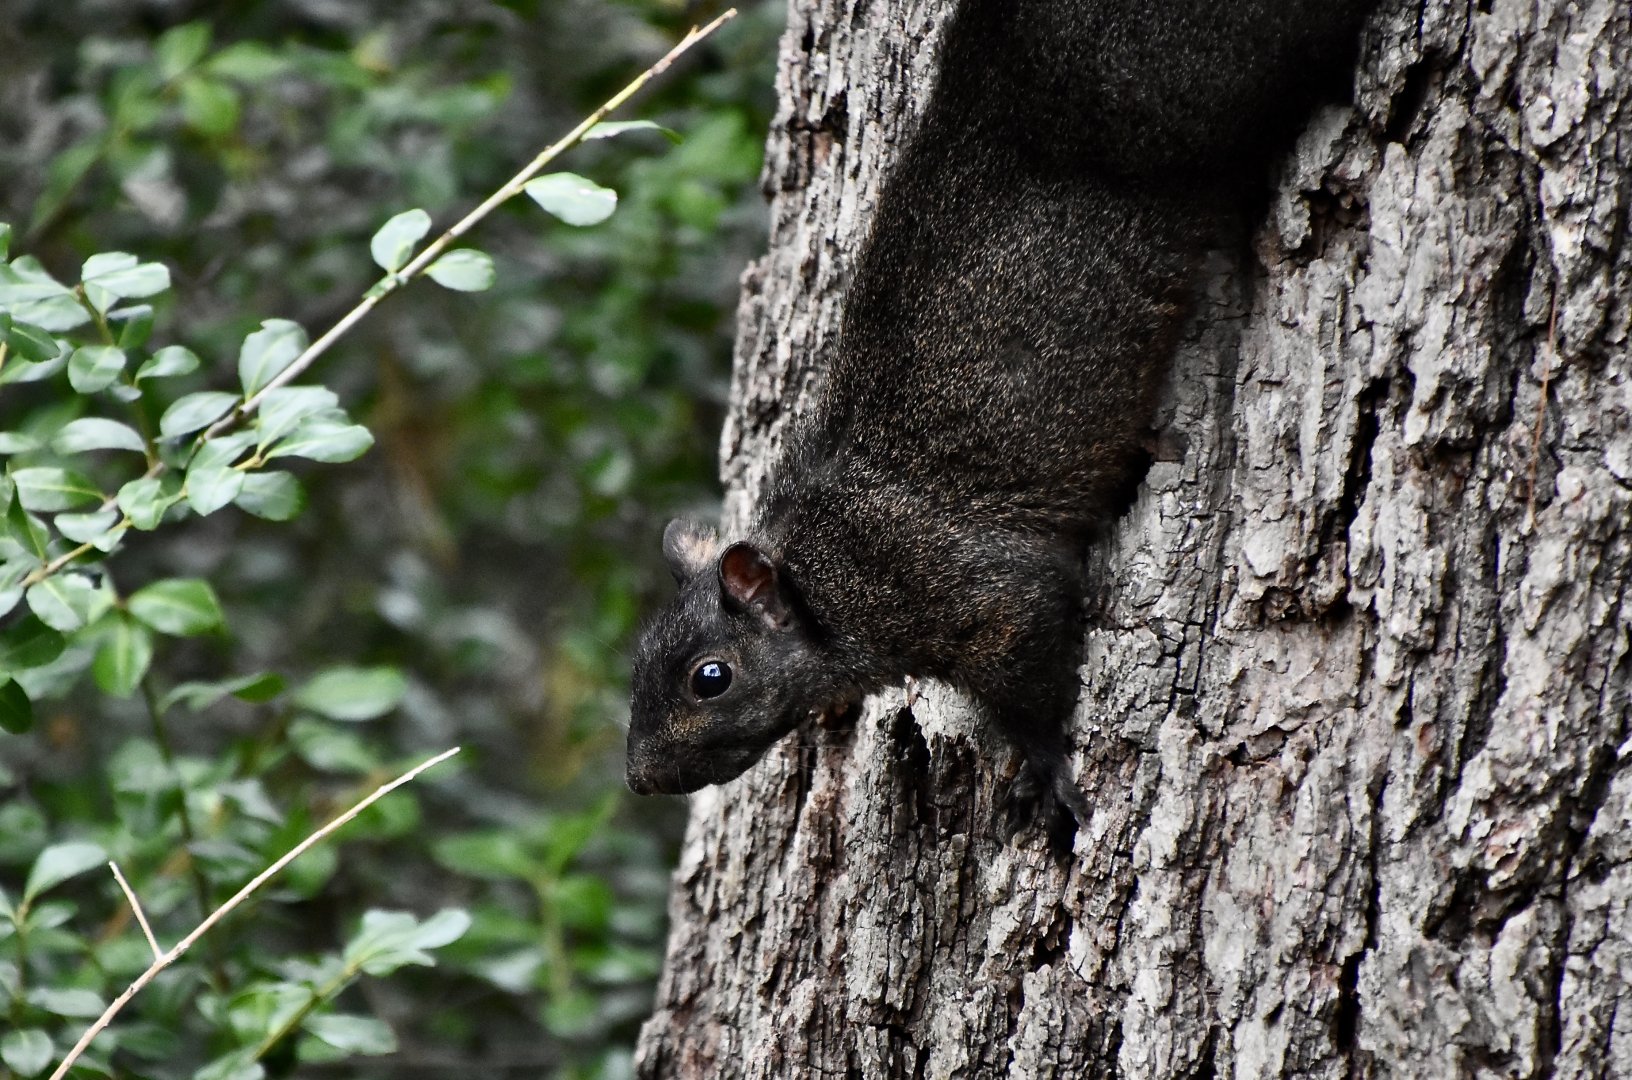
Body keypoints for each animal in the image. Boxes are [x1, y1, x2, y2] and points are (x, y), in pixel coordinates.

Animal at [626, 0, 1376, 852]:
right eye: (639, 664)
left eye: (710, 678)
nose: (640, 777)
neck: (823, 567)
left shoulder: (962, 584)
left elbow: (1028, 645)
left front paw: (1040, 767)